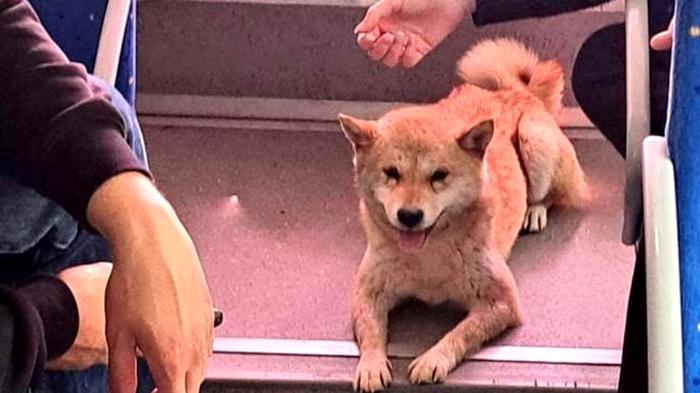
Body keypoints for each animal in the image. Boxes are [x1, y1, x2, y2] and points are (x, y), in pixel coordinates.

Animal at [340, 37, 592, 392]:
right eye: (391, 173)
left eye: (439, 175)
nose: (409, 215)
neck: (428, 255)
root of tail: (515, 91)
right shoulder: (367, 291)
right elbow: (371, 330)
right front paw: (372, 364)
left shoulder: (502, 303)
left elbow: (461, 333)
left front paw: (433, 358)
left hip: (535, 141)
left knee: (551, 195)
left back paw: (535, 210)